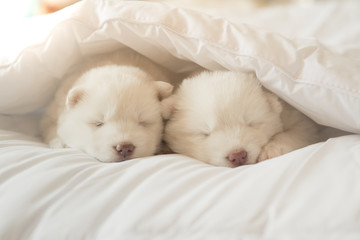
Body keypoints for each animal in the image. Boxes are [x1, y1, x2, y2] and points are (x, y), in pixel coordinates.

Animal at [40, 49, 173, 164]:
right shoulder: (53, 113)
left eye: (143, 122)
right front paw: (60, 143)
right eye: (98, 123)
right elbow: (52, 128)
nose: (125, 147)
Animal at [163, 70, 320, 168]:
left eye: (252, 124)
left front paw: (272, 150)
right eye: (204, 133)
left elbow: (295, 133)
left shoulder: (299, 118)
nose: (238, 155)